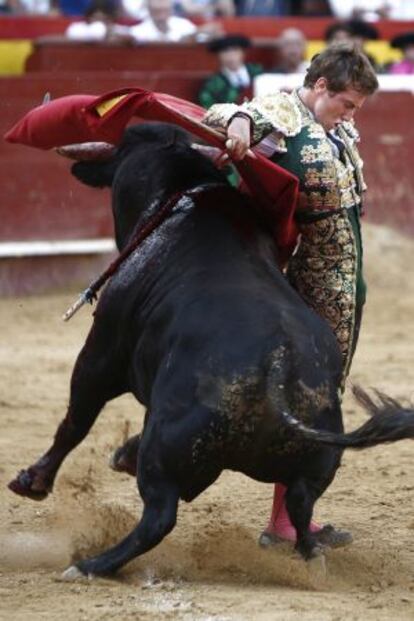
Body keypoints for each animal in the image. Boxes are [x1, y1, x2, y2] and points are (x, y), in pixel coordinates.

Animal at [8, 123, 414, 580]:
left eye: (128, 140)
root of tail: (279, 366)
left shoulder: (101, 352)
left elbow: (75, 420)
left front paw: (32, 481)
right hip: (313, 469)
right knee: (300, 509)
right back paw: (312, 558)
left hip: (163, 448)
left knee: (158, 517)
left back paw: (91, 563)